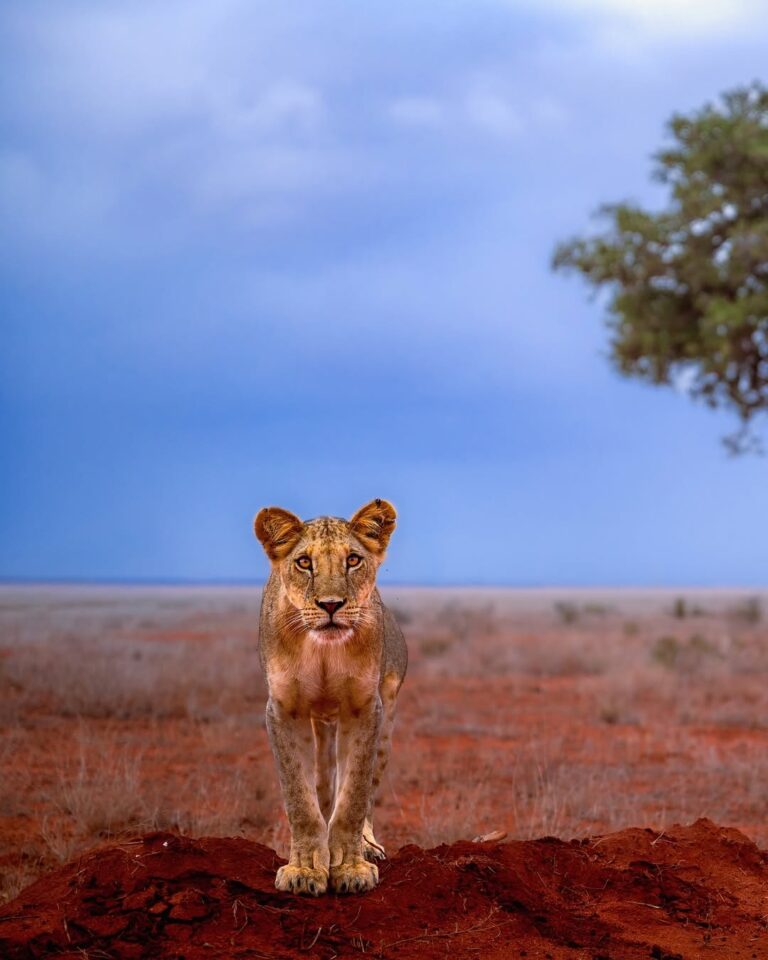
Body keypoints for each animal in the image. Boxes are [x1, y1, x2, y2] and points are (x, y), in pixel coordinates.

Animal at [253, 498, 407, 896]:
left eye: (352, 560)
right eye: (304, 562)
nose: (331, 604)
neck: (323, 650)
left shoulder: (366, 706)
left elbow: (353, 797)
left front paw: (351, 868)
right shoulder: (283, 709)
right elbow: (300, 798)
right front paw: (305, 869)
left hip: (388, 716)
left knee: (367, 790)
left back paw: (368, 845)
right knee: (323, 783)